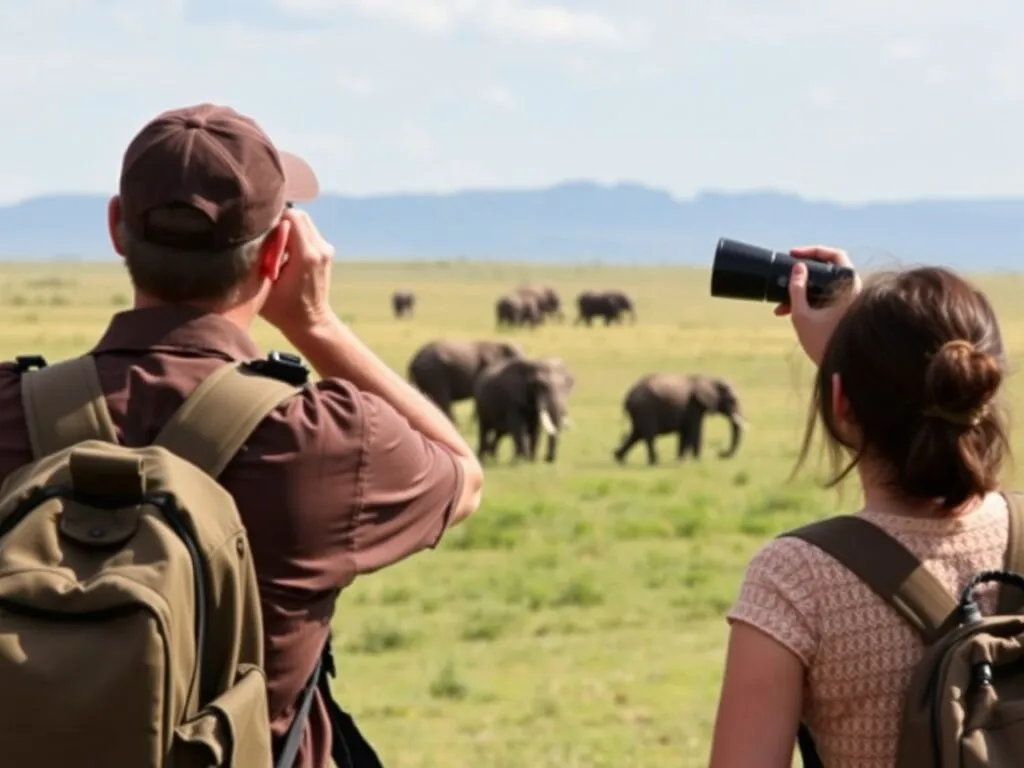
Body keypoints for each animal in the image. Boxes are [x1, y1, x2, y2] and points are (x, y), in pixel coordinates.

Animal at [613, 373, 746, 465]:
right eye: (732, 400)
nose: (720, 453)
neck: (710, 379)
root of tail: (627, 397)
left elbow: (685, 433)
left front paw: (681, 461)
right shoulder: (694, 406)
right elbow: (695, 431)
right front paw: (697, 461)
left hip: (639, 412)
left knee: (636, 434)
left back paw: (619, 459)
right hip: (645, 410)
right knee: (647, 436)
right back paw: (654, 462)